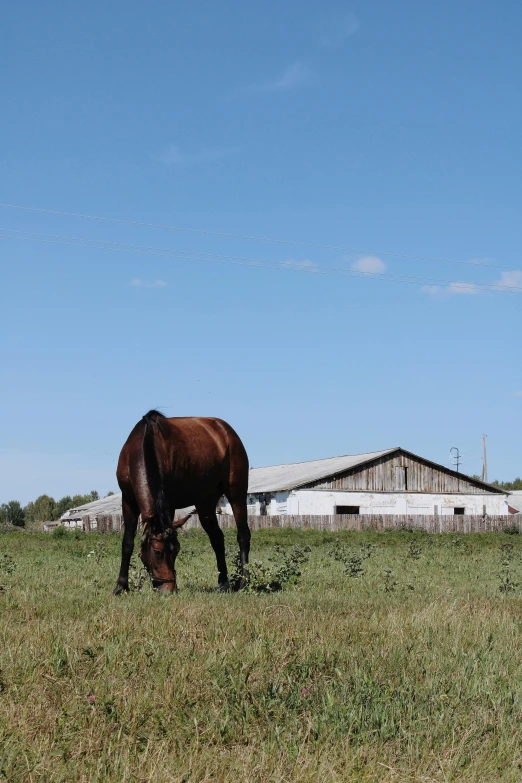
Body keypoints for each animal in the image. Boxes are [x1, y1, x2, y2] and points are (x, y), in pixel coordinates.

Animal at [115, 410, 249, 596]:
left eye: (177, 550)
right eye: (157, 552)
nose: (168, 589)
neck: (144, 445)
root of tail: (227, 431)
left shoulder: (168, 504)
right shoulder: (127, 500)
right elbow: (127, 543)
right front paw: (120, 587)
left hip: (237, 495)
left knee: (243, 535)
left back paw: (244, 583)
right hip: (205, 502)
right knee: (217, 538)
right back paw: (223, 583)